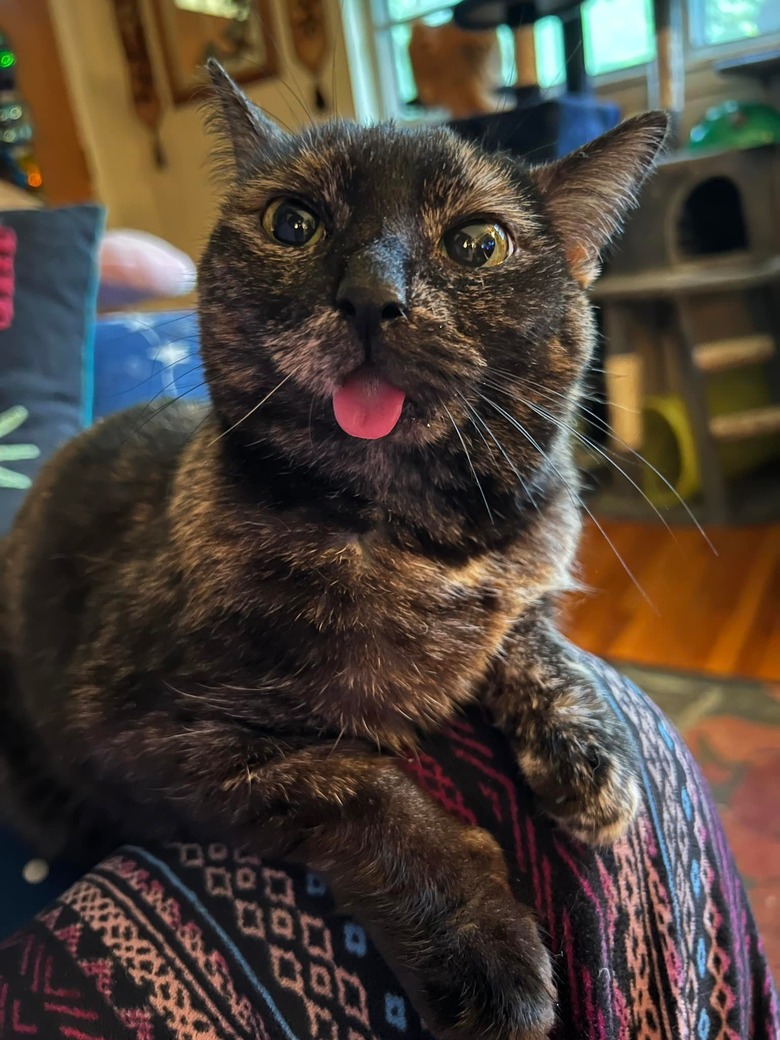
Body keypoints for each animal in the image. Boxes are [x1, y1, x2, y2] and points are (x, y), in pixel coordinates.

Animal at [1, 60, 665, 1035]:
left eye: (477, 244)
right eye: (292, 223)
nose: (370, 297)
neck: (413, 537)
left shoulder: (527, 566)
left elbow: (530, 635)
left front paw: (592, 759)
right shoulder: (139, 734)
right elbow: (360, 786)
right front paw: (486, 950)